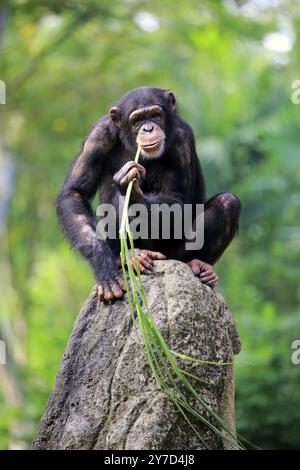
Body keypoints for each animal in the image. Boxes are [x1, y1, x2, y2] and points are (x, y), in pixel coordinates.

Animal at [56, 87, 240, 302]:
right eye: (137, 120)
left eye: (155, 115)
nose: (148, 128)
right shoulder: (98, 136)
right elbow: (75, 192)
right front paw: (104, 268)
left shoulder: (182, 140)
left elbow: (178, 200)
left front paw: (135, 194)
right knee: (117, 201)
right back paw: (128, 257)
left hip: (172, 255)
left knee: (228, 203)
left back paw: (199, 264)